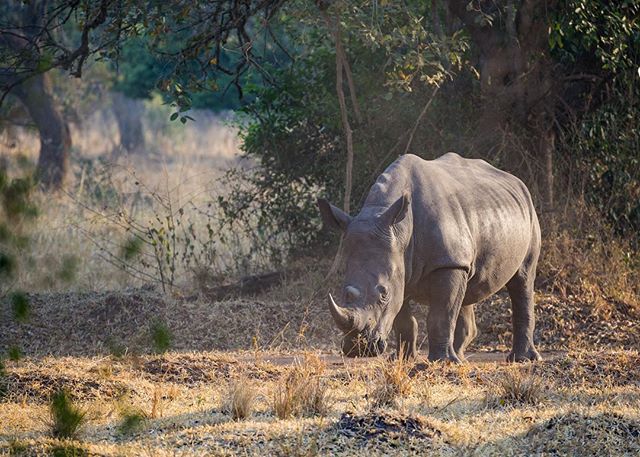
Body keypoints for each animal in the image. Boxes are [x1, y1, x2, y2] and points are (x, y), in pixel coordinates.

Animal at [317, 152, 542, 363]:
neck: (400, 229)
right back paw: (460, 358)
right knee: (467, 286)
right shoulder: (401, 267)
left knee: (523, 279)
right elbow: (404, 320)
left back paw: (522, 359)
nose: (359, 349)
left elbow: (440, 315)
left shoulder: (446, 263)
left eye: (383, 294)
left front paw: (441, 362)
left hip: (529, 216)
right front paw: (402, 359)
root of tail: (517, 182)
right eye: (345, 293)